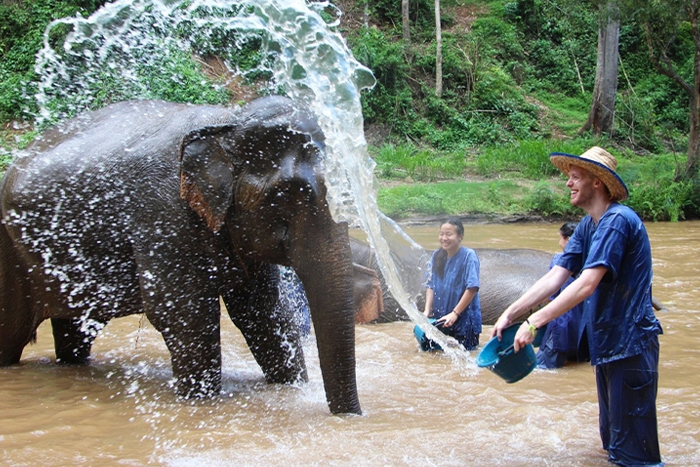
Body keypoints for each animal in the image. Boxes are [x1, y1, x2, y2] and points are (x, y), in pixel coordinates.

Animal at [0, 97, 360, 414]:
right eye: (284, 196)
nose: (349, 416)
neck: (226, 121)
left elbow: (263, 312)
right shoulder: (161, 214)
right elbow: (184, 314)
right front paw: (201, 403)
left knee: (75, 331)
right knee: (11, 334)